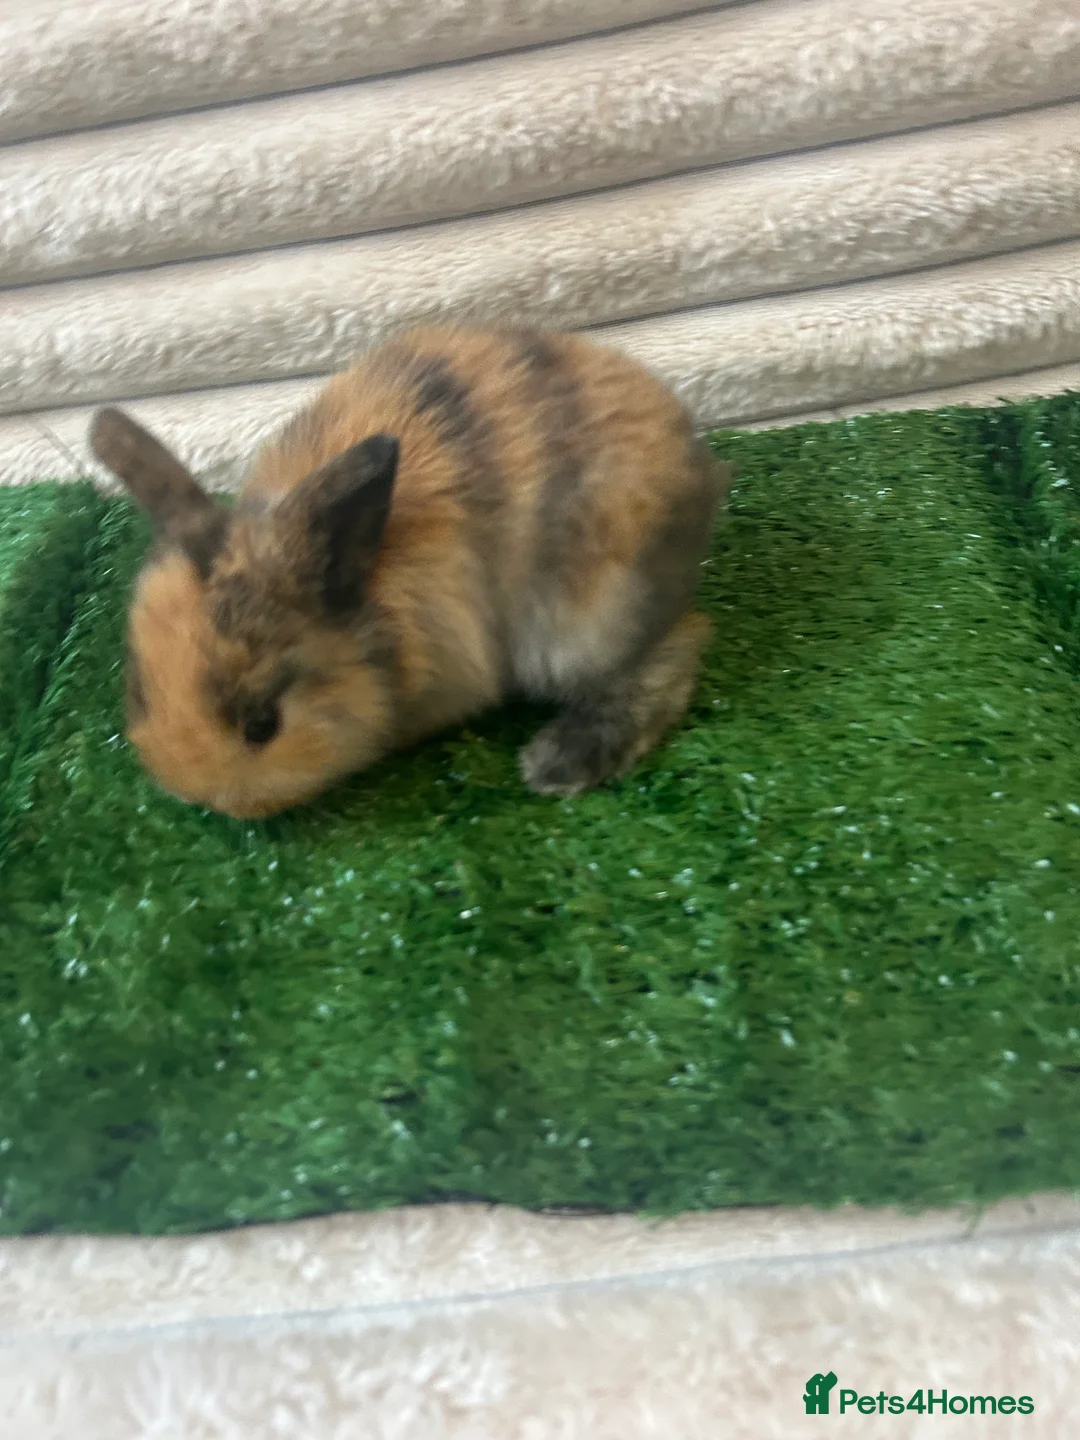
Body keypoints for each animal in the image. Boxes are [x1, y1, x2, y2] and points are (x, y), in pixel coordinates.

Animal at [89, 325, 730, 820]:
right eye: (140, 692)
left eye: (263, 724)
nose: (201, 797)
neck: (377, 617)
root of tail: (698, 463)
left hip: (591, 622)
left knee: (676, 650)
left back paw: (563, 759)